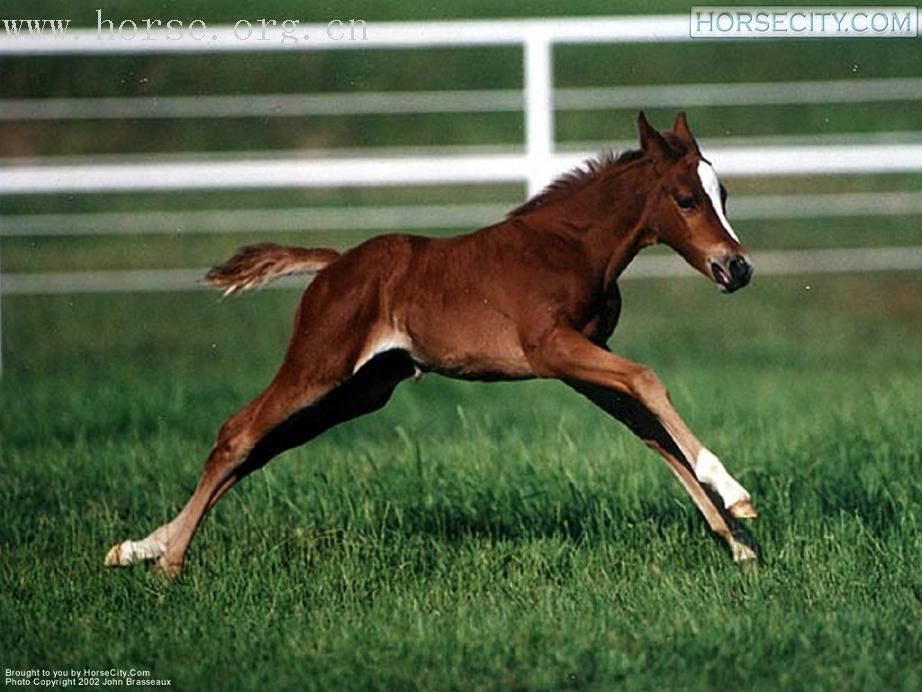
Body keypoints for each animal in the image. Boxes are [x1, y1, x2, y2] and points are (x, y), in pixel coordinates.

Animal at [104, 111, 760, 576]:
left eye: (724, 195)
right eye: (685, 199)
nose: (737, 268)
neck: (573, 247)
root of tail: (335, 263)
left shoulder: (581, 366)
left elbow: (652, 434)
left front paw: (739, 543)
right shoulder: (551, 350)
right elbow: (648, 379)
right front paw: (738, 495)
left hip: (360, 390)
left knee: (263, 447)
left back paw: (139, 547)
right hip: (317, 364)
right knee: (238, 434)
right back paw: (168, 563)